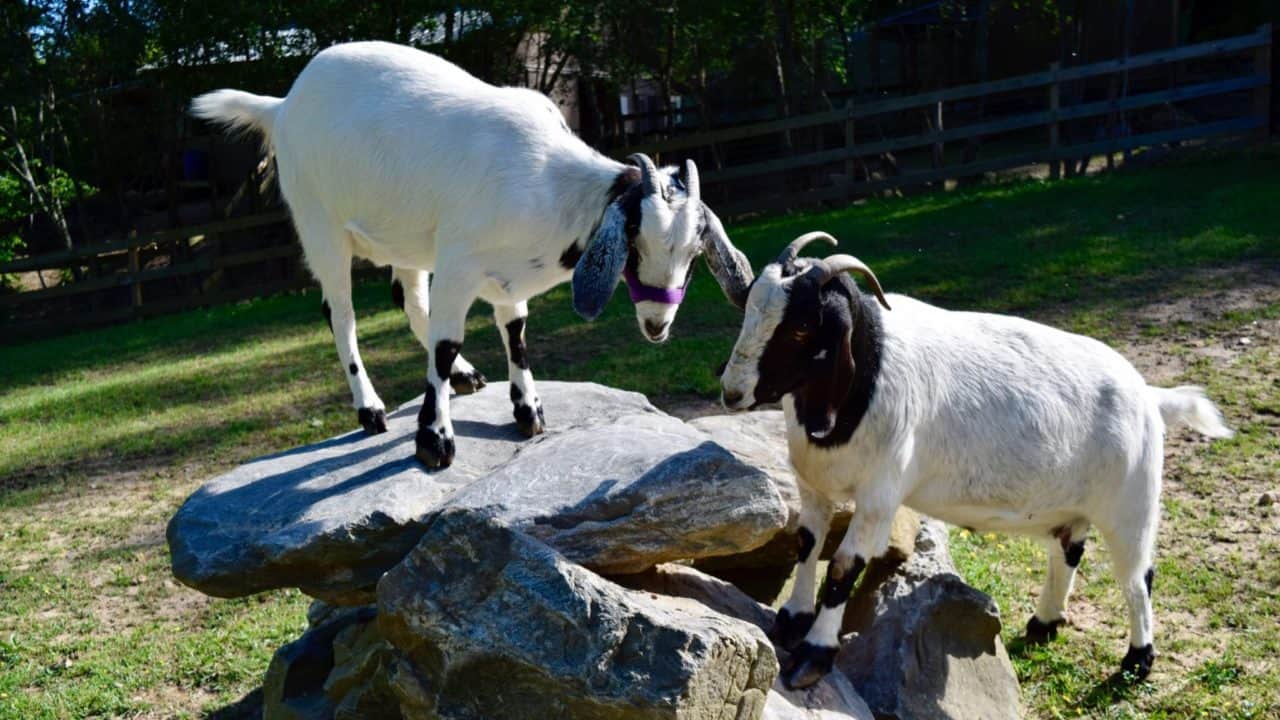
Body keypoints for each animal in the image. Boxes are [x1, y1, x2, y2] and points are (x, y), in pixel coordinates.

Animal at [189, 40, 747, 466]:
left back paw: (463, 377)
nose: (657, 324)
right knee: (340, 313)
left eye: (695, 249)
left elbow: (515, 333)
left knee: (409, 300)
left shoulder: (507, 275)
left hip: (409, 238)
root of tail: (281, 104)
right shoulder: (459, 264)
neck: (554, 184)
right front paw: (434, 441)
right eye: (635, 236)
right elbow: (445, 341)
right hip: (318, 224)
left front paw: (528, 410)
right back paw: (370, 409)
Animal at [721, 233, 1228, 686]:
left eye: (801, 327)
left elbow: (844, 569)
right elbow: (807, 544)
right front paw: (790, 619)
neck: (867, 374)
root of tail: (1150, 395)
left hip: (1132, 501)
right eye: (749, 311)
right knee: (1070, 550)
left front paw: (813, 655)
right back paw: (1044, 623)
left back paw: (1137, 661)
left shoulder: (879, 497)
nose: (731, 392)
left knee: (1138, 576)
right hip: (1077, 506)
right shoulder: (813, 486)